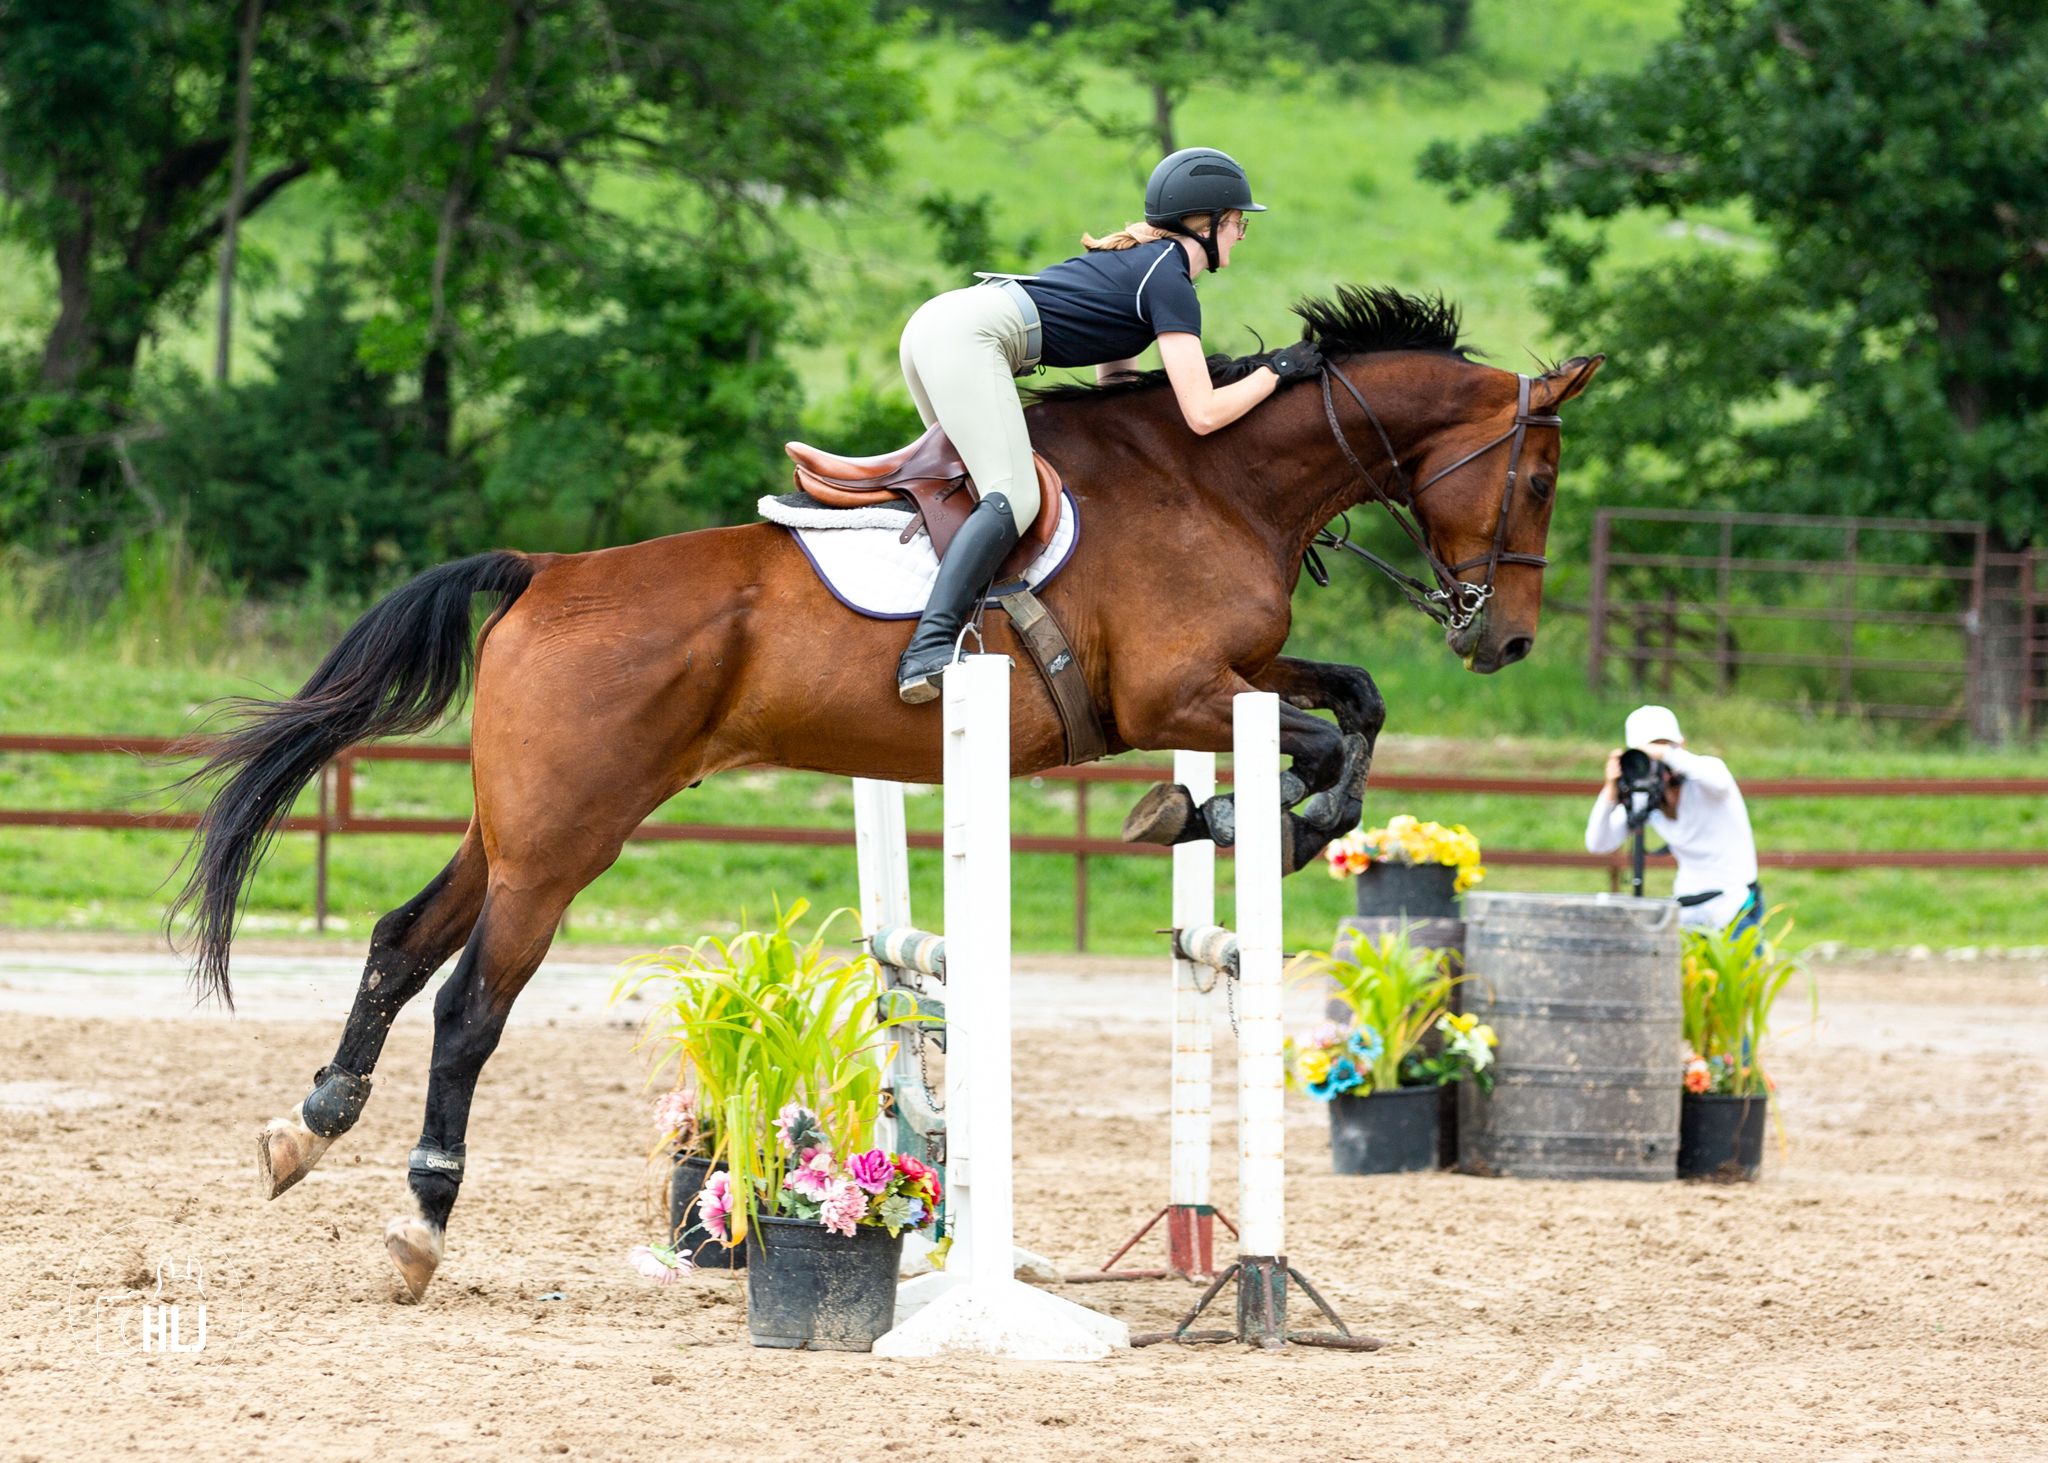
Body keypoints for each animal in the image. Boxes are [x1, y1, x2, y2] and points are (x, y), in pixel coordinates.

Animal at [170, 285, 1601, 1301]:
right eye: (1535, 477)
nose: (1506, 640)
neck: (1214, 478)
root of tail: (541, 571)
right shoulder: (1174, 696)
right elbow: (1320, 744)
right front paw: (1238, 820)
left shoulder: (1236, 677)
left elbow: (1353, 701)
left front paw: (1231, 818)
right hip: (563, 841)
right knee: (470, 1005)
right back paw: (417, 1223)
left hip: (507, 828)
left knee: (397, 941)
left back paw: (305, 1128)